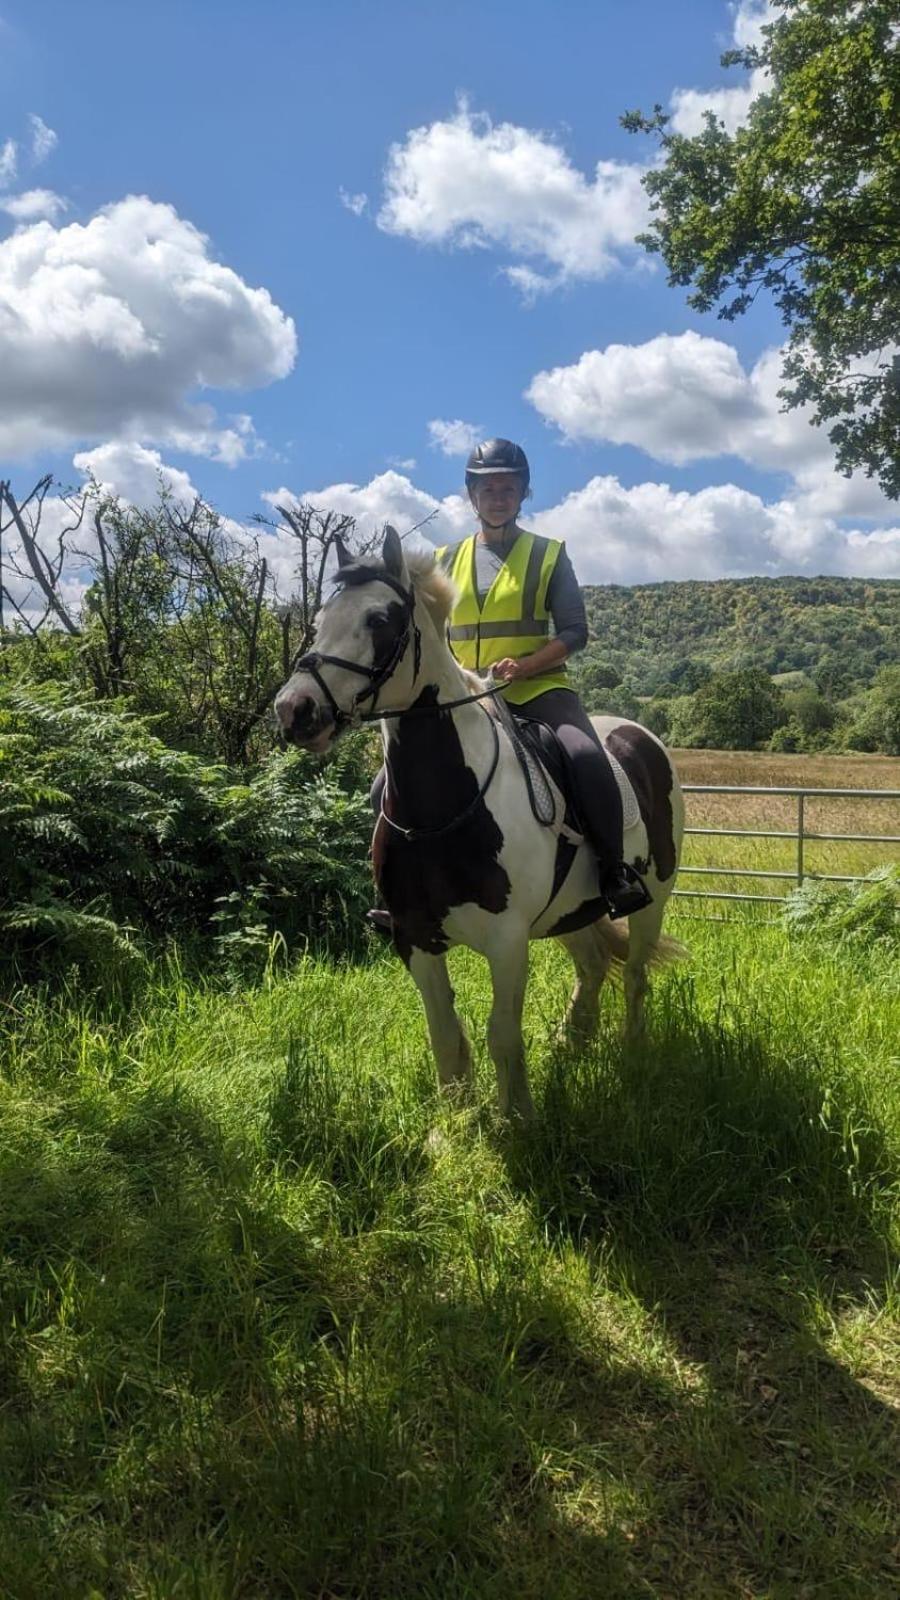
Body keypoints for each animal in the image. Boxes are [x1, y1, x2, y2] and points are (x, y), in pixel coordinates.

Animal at [273, 531, 679, 1120]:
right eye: (321, 618)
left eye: (379, 619)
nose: (294, 710)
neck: (441, 810)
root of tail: (637, 734)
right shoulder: (414, 938)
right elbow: (444, 1034)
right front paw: (452, 1121)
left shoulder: (507, 941)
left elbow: (500, 1034)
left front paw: (517, 1121)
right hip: (570, 912)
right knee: (593, 963)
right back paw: (573, 1042)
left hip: (652, 897)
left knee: (634, 974)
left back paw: (633, 1055)